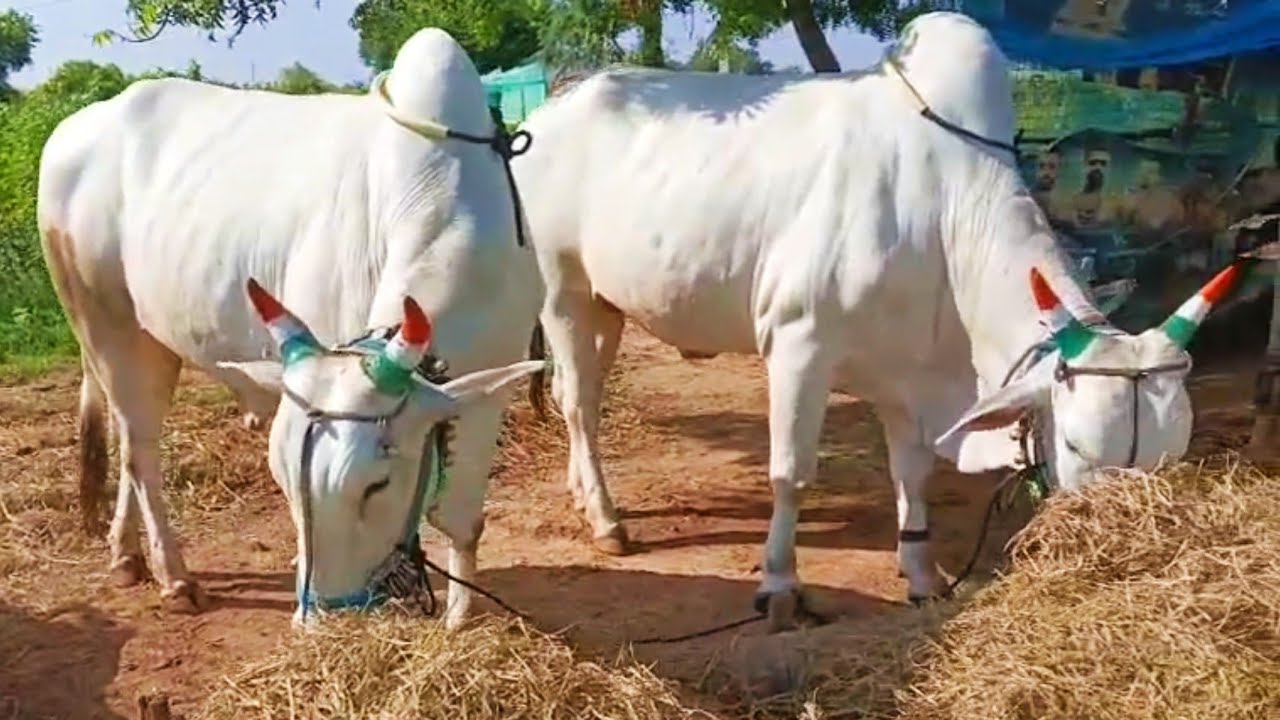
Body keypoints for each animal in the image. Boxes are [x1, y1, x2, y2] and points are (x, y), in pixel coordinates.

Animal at [37, 27, 546, 627]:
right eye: (281, 477)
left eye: (376, 484)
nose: (323, 617)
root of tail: (73, 128)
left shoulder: (492, 381)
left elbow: (462, 520)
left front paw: (459, 619)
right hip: (104, 324)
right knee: (140, 449)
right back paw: (174, 576)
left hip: (148, 340)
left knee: (126, 436)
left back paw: (125, 554)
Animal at [509, 11, 1242, 631]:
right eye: (1076, 447)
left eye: (1171, 459)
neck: (946, 210)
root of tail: (552, 107)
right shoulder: (798, 344)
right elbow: (790, 473)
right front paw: (779, 587)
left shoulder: (911, 372)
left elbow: (912, 473)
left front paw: (921, 573)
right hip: (562, 289)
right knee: (578, 401)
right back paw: (606, 519)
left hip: (607, 303)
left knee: (582, 396)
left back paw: (584, 493)